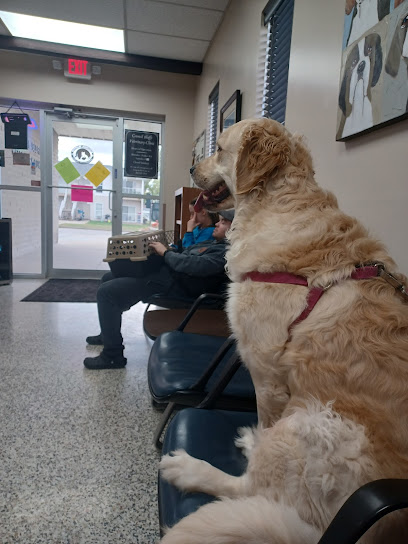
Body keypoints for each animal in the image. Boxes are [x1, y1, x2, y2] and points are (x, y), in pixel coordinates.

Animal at [159, 117, 408, 540]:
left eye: (219, 149)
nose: (191, 169)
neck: (278, 203)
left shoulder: (266, 373)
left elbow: (265, 419)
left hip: (312, 427)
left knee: (252, 489)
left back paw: (194, 467)